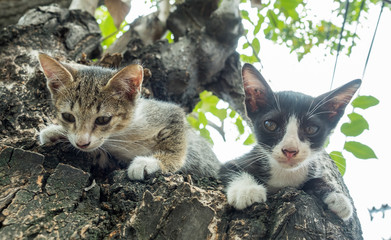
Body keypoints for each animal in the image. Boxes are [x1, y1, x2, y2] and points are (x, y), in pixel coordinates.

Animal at [38, 53, 222, 179]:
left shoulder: (169, 112)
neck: (120, 134)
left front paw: (153, 162)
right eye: (68, 117)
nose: (82, 143)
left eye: (103, 119)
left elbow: (176, 144)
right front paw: (56, 131)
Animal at [219, 63, 362, 221]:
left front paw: (338, 197)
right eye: (270, 124)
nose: (290, 150)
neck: (284, 173)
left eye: (311, 129)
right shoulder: (242, 160)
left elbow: (315, 180)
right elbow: (232, 168)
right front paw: (246, 190)